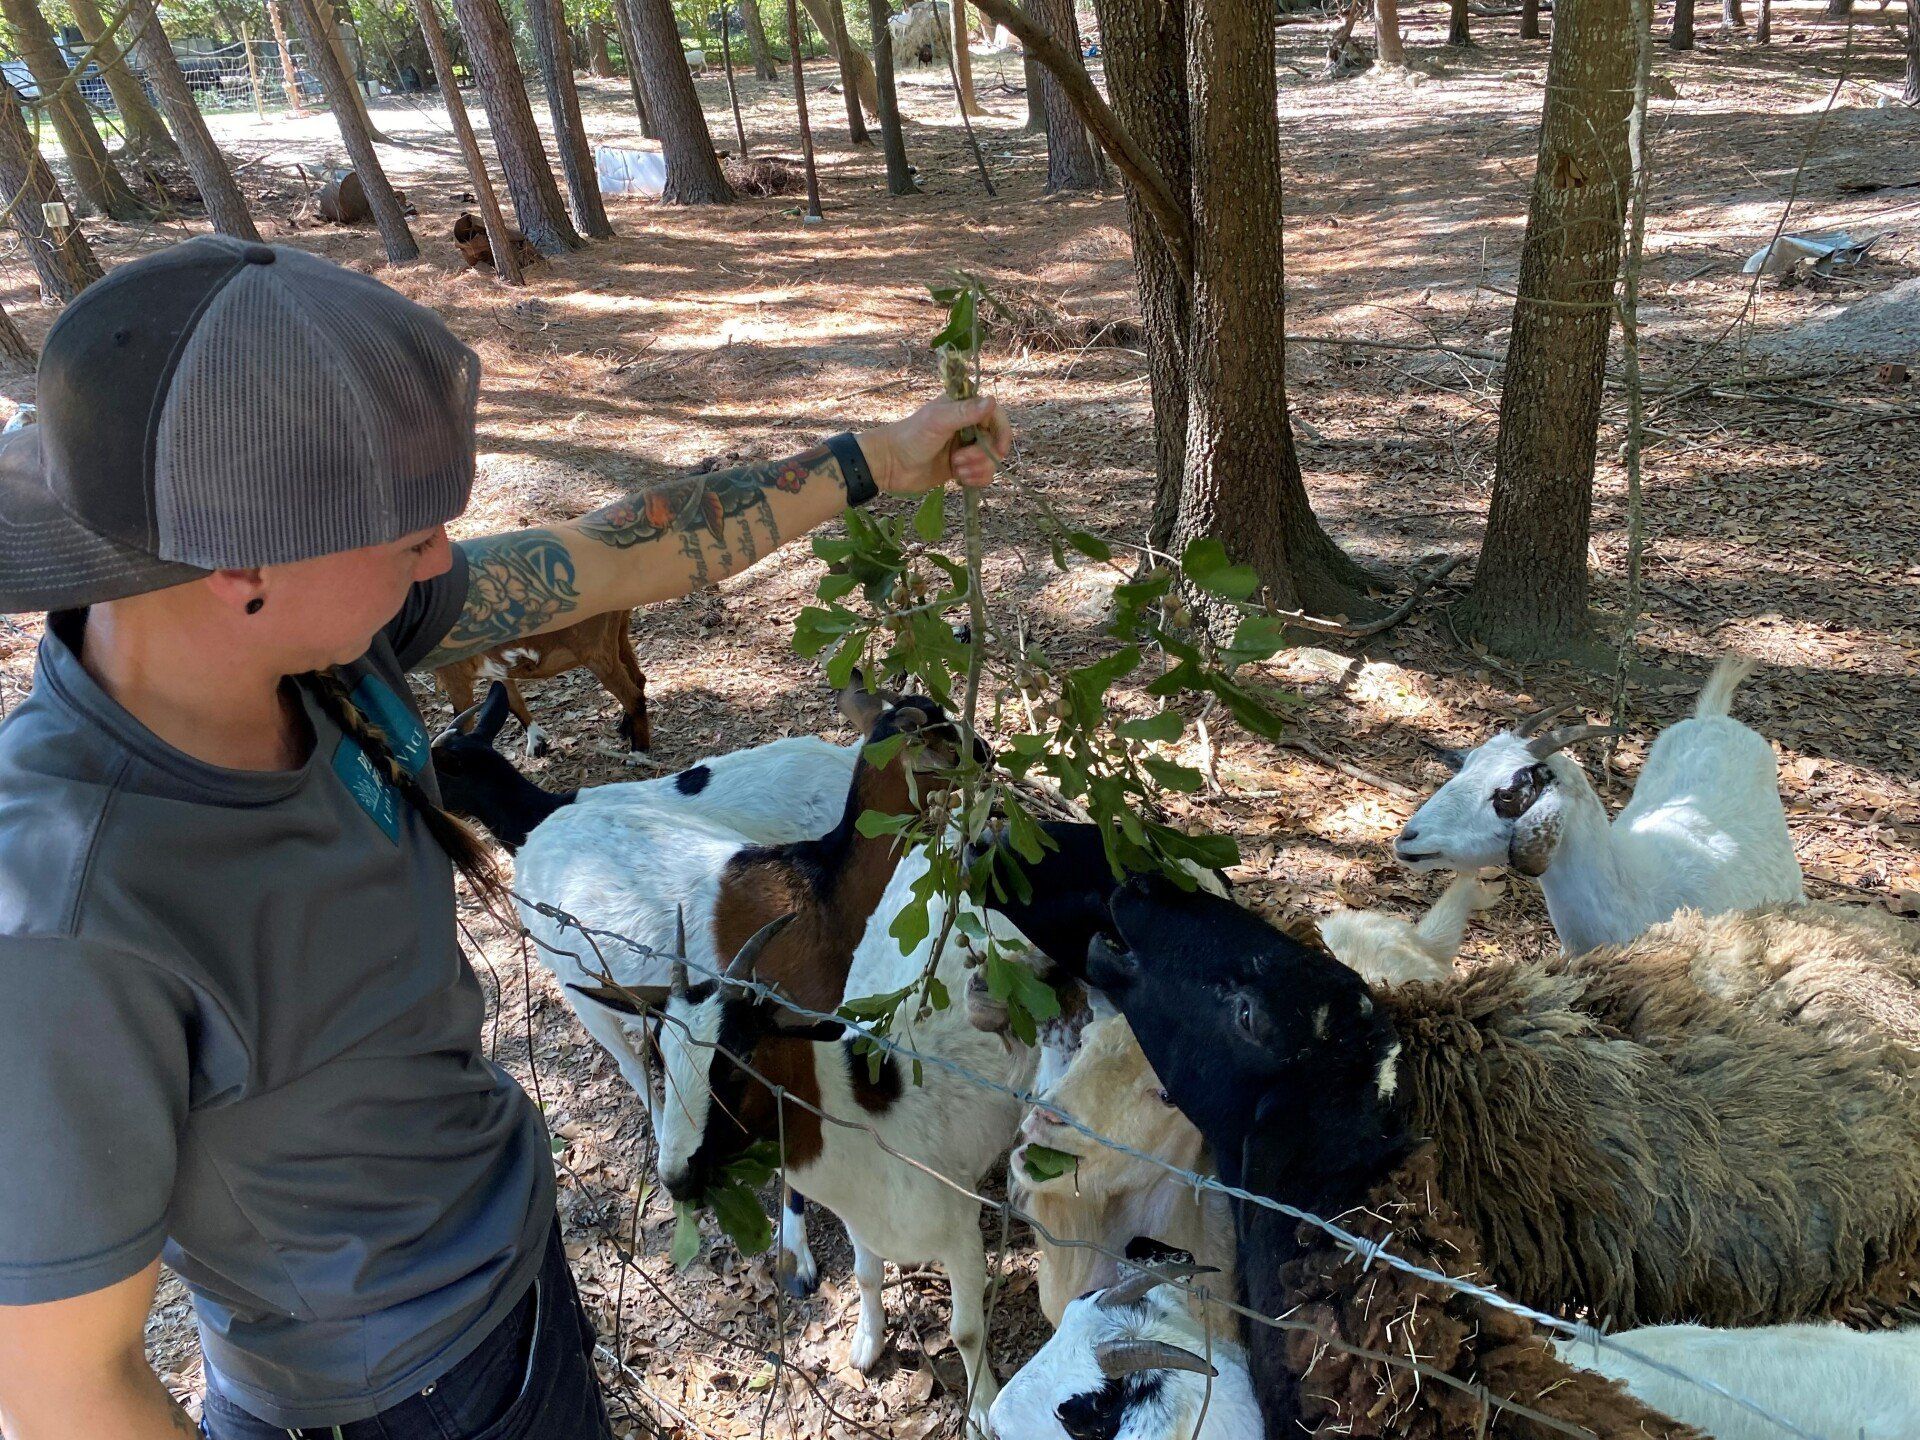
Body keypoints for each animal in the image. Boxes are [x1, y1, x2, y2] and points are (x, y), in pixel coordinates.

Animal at [433, 608, 650, 760]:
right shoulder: (496, 669)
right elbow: (513, 702)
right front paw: (537, 743)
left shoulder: (454, 675)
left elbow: (462, 720)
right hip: (618, 632)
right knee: (638, 678)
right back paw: (625, 728)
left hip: (594, 649)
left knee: (632, 695)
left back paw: (638, 752)